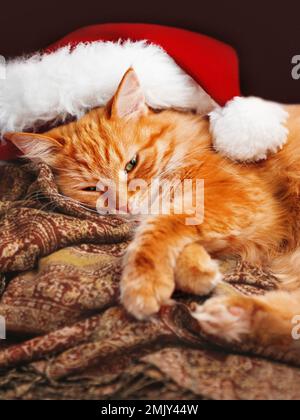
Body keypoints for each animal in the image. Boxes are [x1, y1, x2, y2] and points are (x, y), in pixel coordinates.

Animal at [5, 70, 300, 352]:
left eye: (131, 164)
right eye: (92, 188)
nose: (123, 204)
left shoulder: (241, 198)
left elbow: (161, 227)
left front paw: (143, 283)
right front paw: (198, 271)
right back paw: (232, 316)